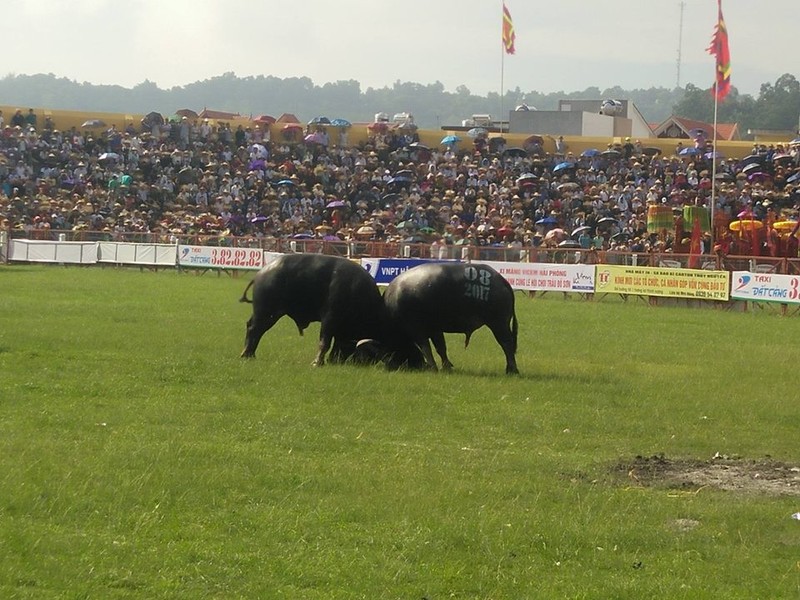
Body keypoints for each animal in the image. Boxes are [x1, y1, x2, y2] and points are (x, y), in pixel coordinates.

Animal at [239, 253, 386, 366]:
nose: (336, 360)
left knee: (253, 328)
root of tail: (261, 273)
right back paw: (247, 354)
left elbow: (336, 342)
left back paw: (249, 354)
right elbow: (325, 342)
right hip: (266, 312)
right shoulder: (329, 319)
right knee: (254, 329)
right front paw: (317, 362)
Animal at [382, 262, 520, 372]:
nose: (388, 363)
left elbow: (426, 348)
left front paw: (433, 367)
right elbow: (440, 347)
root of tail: (502, 280)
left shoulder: (417, 329)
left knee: (507, 343)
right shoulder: (435, 329)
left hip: (499, 323)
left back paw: (512, 370)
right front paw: (446, 367)